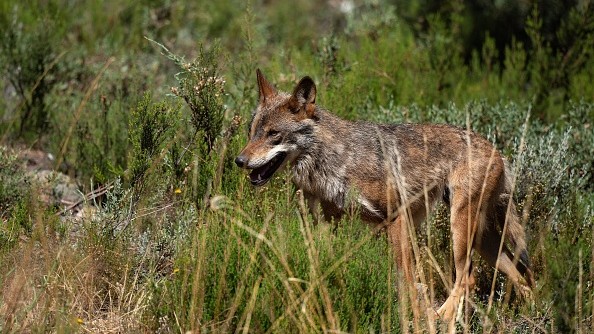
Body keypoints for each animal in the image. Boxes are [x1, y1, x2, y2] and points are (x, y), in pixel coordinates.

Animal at [234, 69, 536, 320]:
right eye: (252, 132)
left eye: (273, 134)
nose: (239, 160)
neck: (336, 158)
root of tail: (498, 152)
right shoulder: (327, 223)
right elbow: (320, 267)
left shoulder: (397, 218)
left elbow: (406, 280)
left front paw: (413, 316)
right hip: (483, 241)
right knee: (520, 276)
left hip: (461, 230)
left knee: (468, 279)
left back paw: (442, 317)